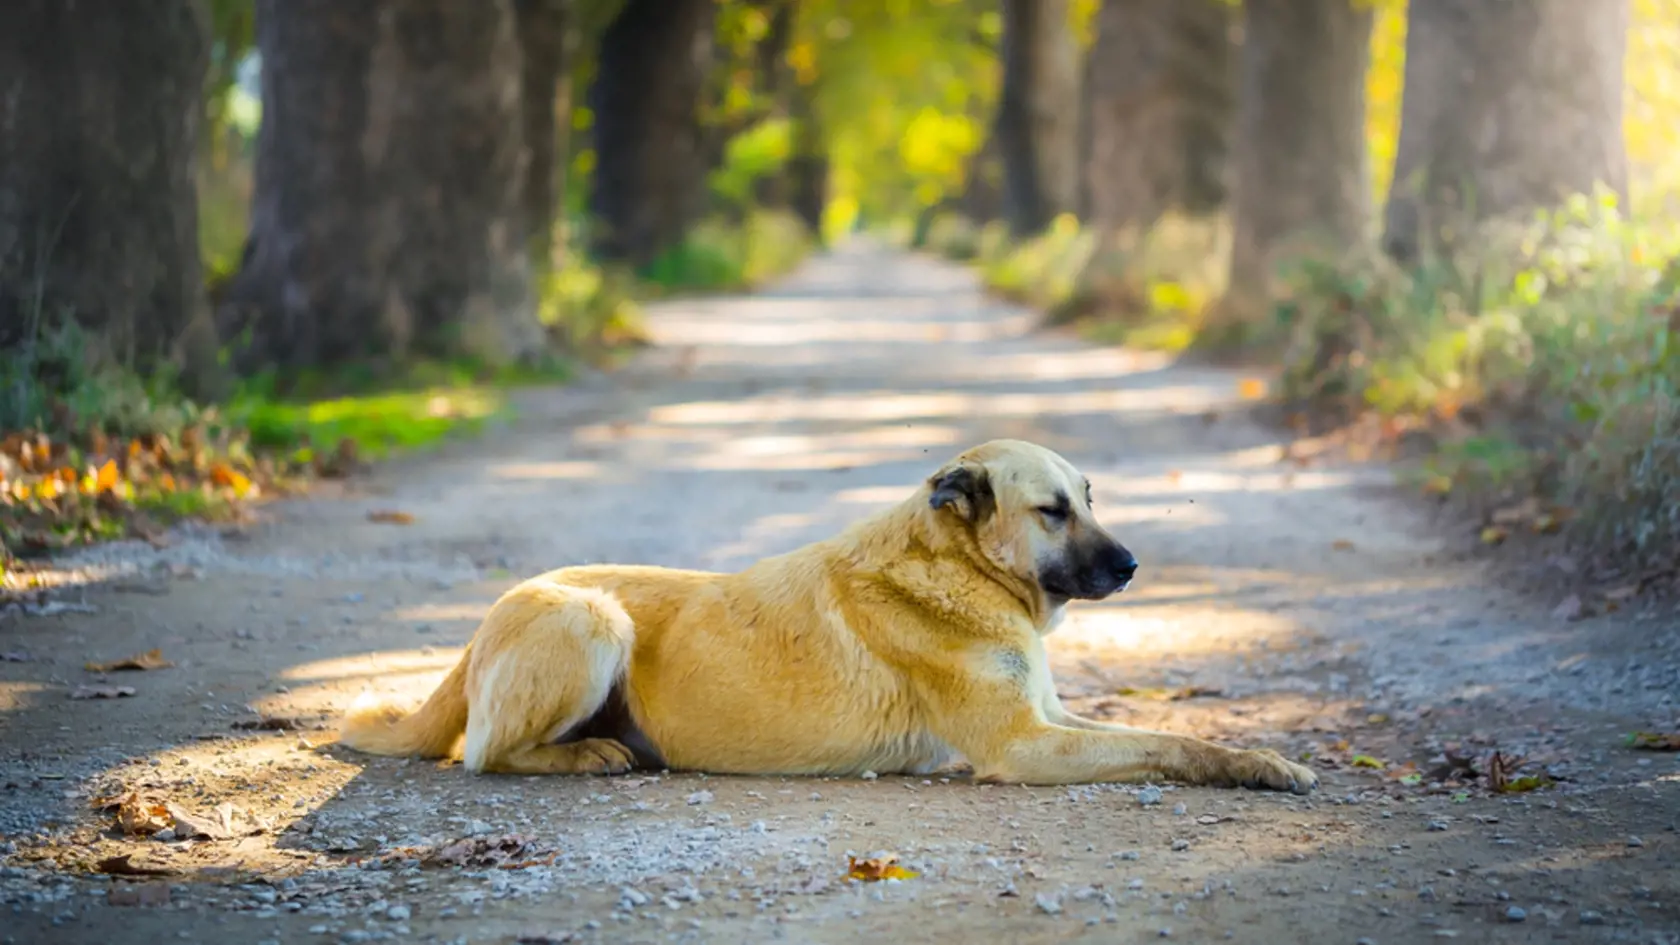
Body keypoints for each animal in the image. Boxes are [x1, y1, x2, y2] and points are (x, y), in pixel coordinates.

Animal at [334, 437, 1317, 790]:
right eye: (1052, 510)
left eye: (1089, 498)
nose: (1134, 564)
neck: (959, 572)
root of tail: (479, 628)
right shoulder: (1022, 745)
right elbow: (1163, 743)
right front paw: (1258, 768)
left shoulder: (1051, 716)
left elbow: (1159, 728)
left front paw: (1261, 756)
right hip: (592, 619)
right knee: (484, 752)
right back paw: (586, 755)